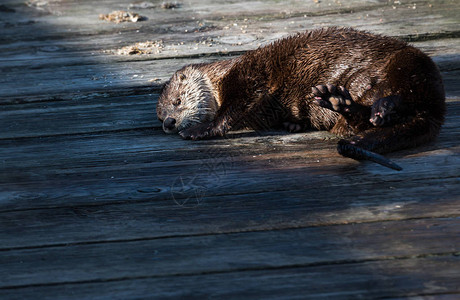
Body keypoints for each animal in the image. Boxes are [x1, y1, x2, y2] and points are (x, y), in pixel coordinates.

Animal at [157, 27, 446, 170]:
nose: (170, 123)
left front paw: (199, 130)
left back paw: (382, 107)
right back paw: (339, 103)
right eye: (160, 116)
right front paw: (293, 124)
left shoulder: (248, 76)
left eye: (177, 101)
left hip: (409, 62)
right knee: (354, 125)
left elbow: (232, 108)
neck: (220, 79)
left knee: (404, 92)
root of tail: (436, 113)